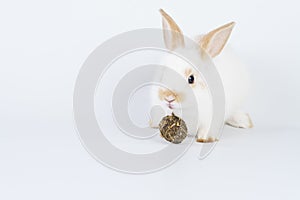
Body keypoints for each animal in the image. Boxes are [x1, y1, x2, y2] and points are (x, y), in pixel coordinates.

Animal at [150, 8, 253, 142]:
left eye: (191, 79)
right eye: (163, 73)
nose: (168, 97)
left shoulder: (210, 118)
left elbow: (206, 130)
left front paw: (204, 139)